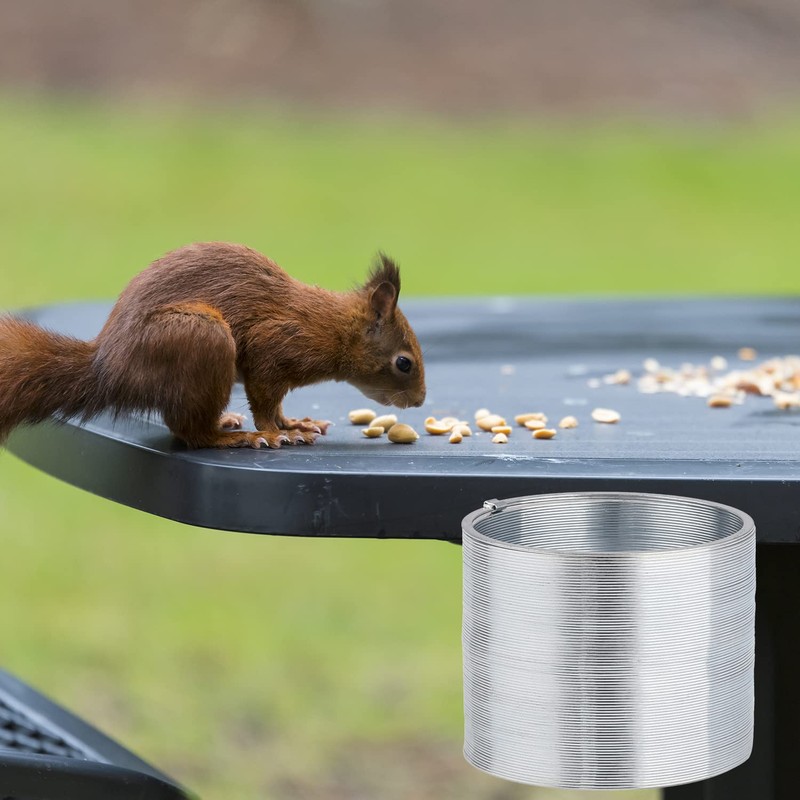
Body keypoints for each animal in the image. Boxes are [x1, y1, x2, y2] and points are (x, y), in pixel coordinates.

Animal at [0, 242, 426, 449]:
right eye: (404, 363)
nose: (420, 401)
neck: (330, 327)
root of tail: (109, 370)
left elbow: (278, 405)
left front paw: (294, 422)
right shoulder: (272, 348)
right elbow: (265, 403)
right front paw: (277, 432)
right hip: (203, 339)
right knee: (190, 432)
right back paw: (237, 438)